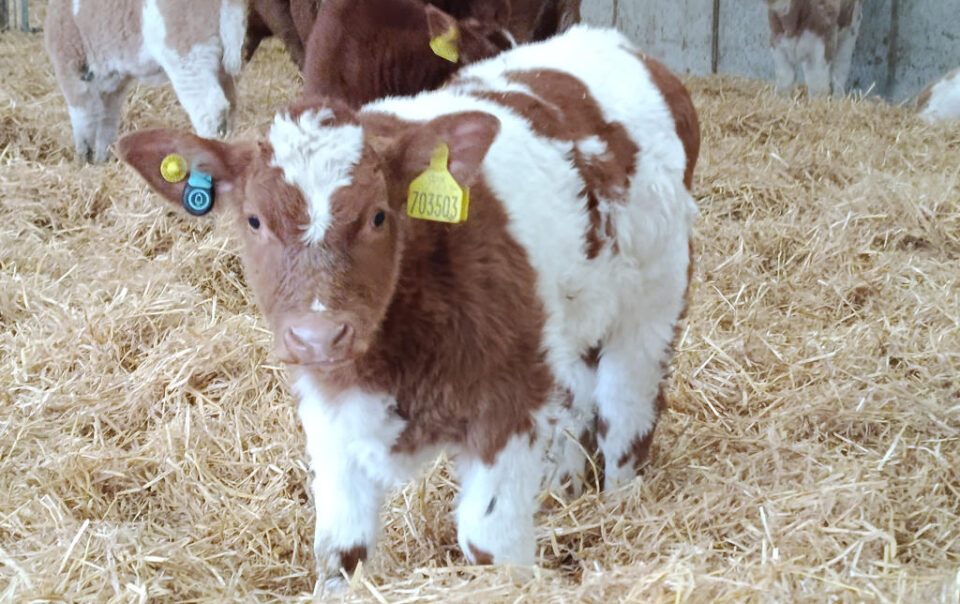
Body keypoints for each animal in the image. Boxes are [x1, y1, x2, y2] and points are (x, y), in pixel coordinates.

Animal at [45, 0, 246, 163]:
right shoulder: (112, 84)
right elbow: (106, 120)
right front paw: (102, 159)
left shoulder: (72, 70)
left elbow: (83, 117)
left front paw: (84, 159)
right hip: (220, 62)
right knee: (229, 106)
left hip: (188, 57)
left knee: (210, 108)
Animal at [117, 25, 699, 585]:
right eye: (254, 220)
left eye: (378, 215)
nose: (318, 336)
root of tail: (611, 41)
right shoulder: (331, 411)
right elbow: (340, 551)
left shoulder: (510, 400)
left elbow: (489, 543)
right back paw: (564, 490)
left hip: (654, 301)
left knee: (626, 414)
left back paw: (619, 504)